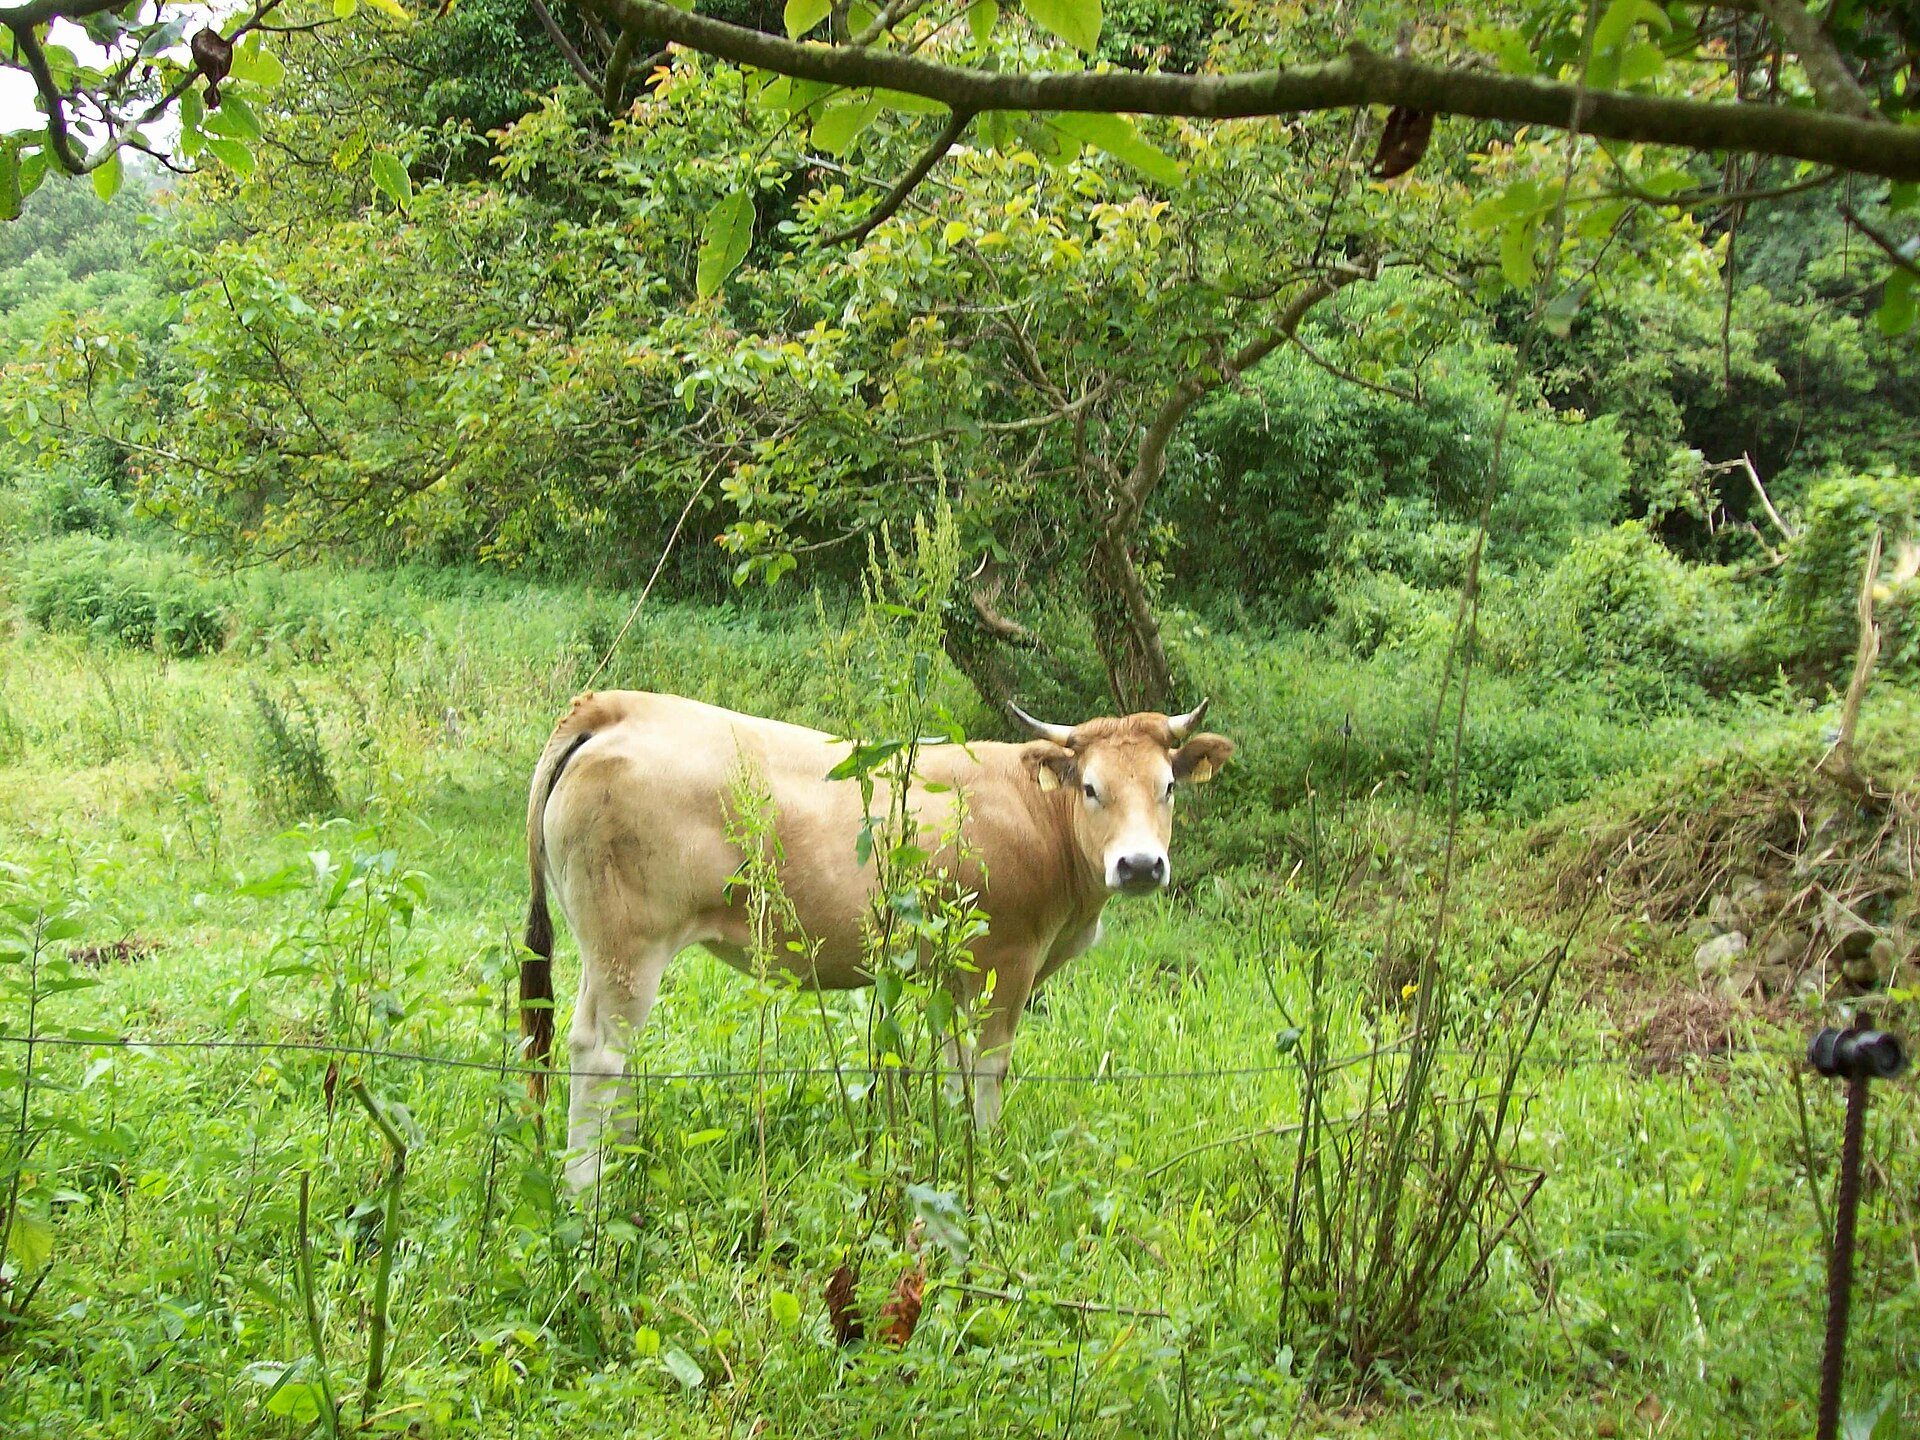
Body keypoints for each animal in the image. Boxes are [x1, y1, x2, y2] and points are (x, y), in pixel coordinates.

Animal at [520, 690, 1233, 1189]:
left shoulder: (953, 972)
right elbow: (989, 1067)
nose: (1139, 866)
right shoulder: (1005, 961)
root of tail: (617, 705)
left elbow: (953, 1063)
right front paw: (986, 1152)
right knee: (598, 1053)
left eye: (1168, 787)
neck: (1036, 815)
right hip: (629, 940)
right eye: (1091, 787)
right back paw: (588, 1189)